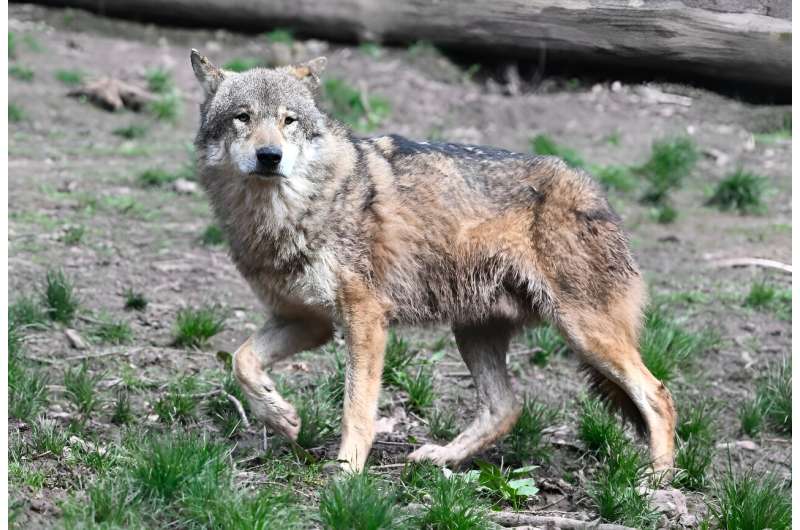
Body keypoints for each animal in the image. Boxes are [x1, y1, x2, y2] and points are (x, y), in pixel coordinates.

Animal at [189, 50, 676, 473]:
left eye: (288, 120)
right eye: (243, 117)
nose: (269, 156)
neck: (288, 213)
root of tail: (596, 192)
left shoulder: (365, 319)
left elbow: (356, 408)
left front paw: (346, 472)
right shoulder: (308, 321)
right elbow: (242, 361)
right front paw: (281, 416)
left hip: (583, 332)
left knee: (658, 393)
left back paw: (655, 483)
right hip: (475, 331)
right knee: (507, 406)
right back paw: (441, 457)